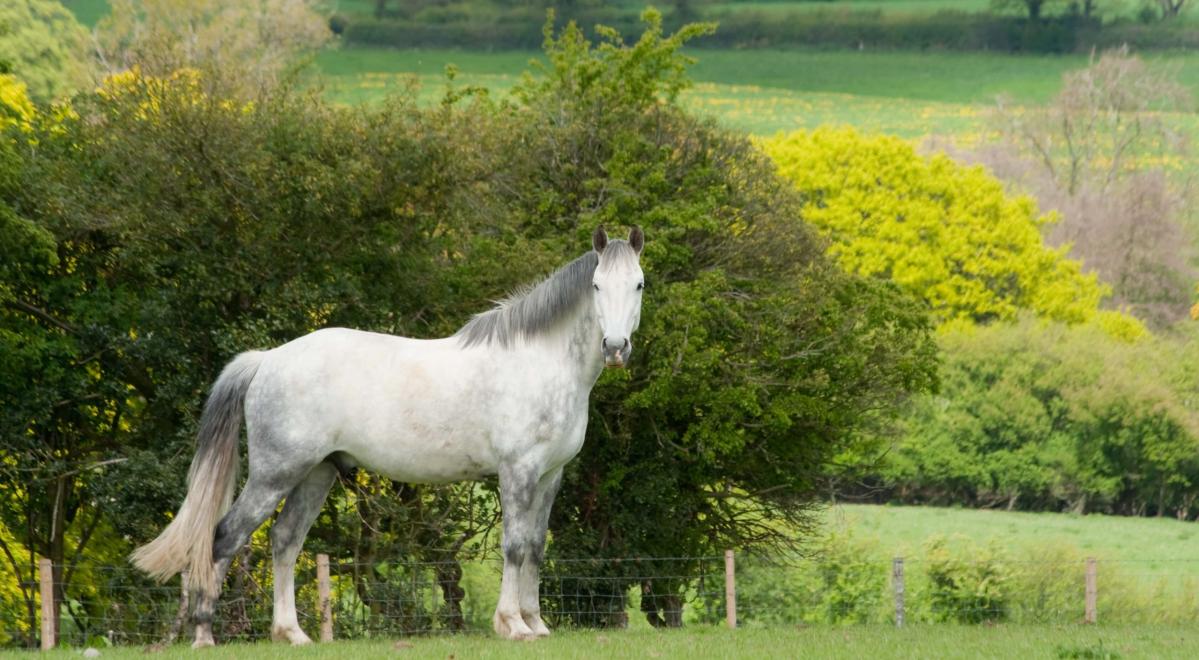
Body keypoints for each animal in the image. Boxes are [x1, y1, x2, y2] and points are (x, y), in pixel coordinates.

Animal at [131, 226, 646, 647]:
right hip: (274, 474)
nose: (615, 348)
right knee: (224, 537)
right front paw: (512, 625)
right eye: (597, 285)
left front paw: (535, 624)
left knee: (285, 540)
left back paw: (292, 634)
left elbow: (536, 547)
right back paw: (204, 635)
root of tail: (268, 359)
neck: (540, 361)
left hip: (316, 474)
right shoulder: (517, 472)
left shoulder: (549, 475)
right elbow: (515, 546)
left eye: (638, 284)